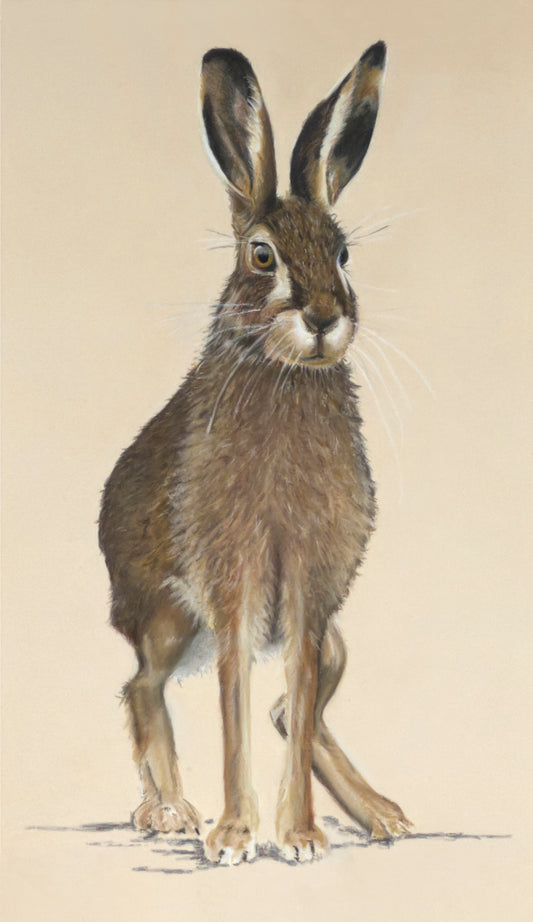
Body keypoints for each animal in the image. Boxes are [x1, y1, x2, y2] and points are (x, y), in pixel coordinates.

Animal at [99, 41, 412, 865]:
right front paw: (234, 836)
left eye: (343, 253)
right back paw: (169, 811)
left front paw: (298, 836)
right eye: (261, 255)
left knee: (285, 709)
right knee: (142, 688)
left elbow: (289, 707)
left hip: (332, 637)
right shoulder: (231, 577)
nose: (325, 317)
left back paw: (382, 814)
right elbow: (231, 706)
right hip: (169, 619)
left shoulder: (309, 589)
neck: (283, 374)